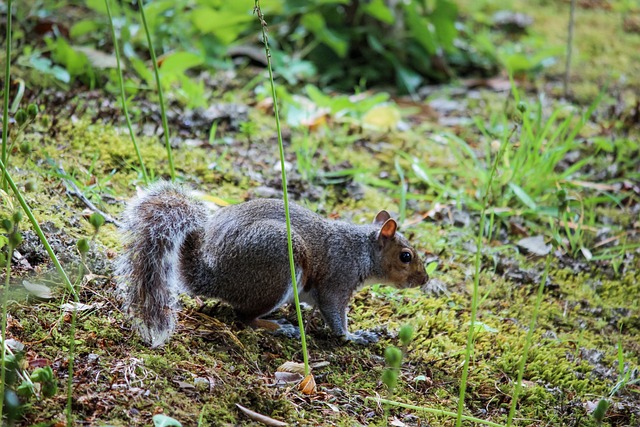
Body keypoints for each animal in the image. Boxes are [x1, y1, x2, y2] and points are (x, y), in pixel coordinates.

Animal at [117, 182, 428, 350]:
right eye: (406, 256)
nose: (424, 280)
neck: (361, 251)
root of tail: (212, 275)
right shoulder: (338, 280)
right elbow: (335, 314)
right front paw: (355, 336)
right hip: (278, 268)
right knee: (244, 317)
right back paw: (278, 327)